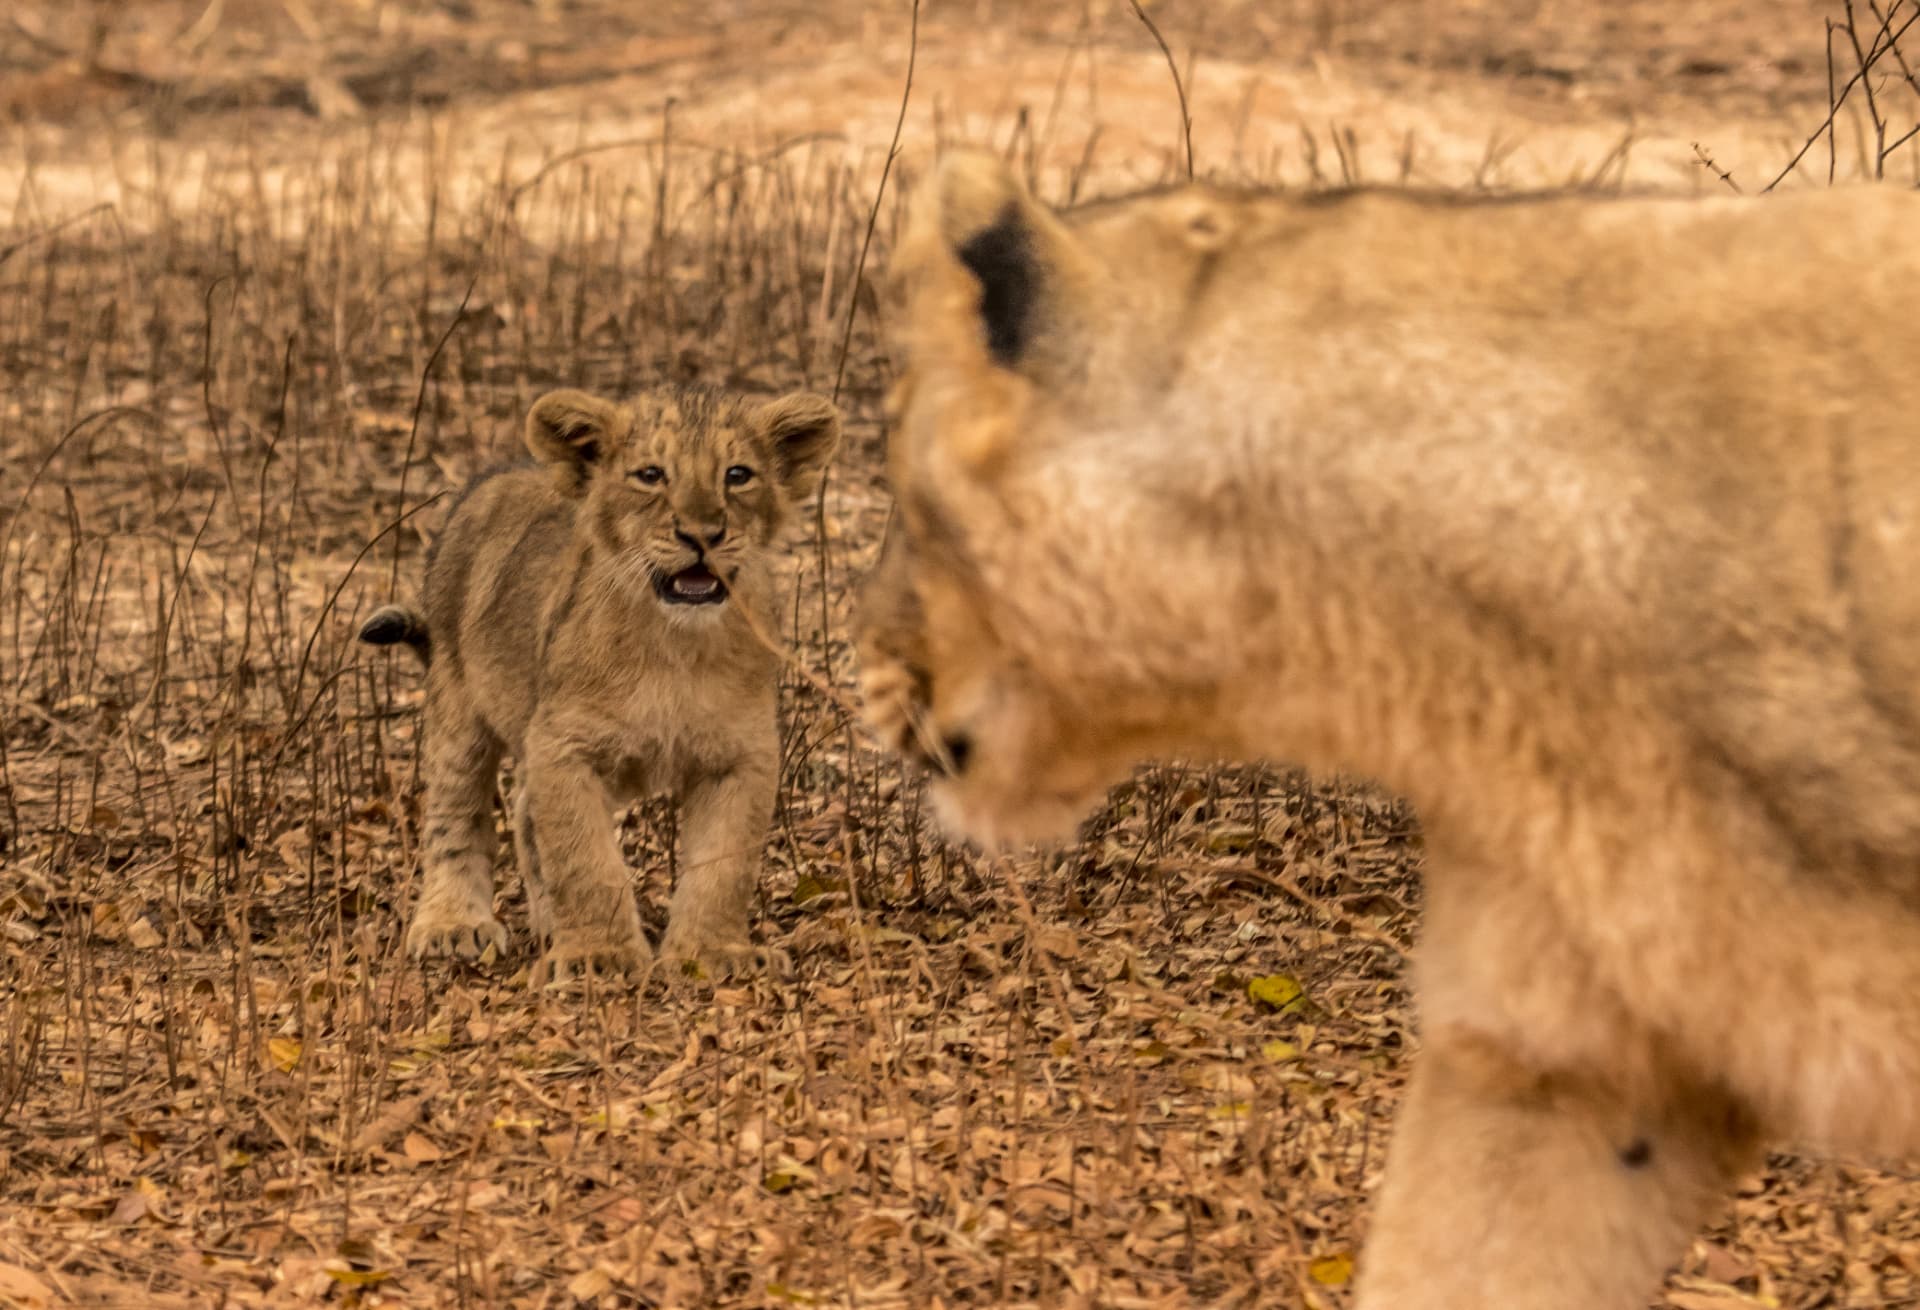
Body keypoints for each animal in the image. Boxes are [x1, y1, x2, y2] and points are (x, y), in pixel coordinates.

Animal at [361, 383, 840, 982]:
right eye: (651, 475)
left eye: (738, 475)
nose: (702, 534)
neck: (674, 643)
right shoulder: (564, 745)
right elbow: (583, 858)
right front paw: (599, 957)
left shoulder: (741, 753)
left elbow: (724, 865)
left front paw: (712, 955)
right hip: (458, 704)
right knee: (456, 814)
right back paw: (453, 925)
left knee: (523, 811)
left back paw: (547, 924)